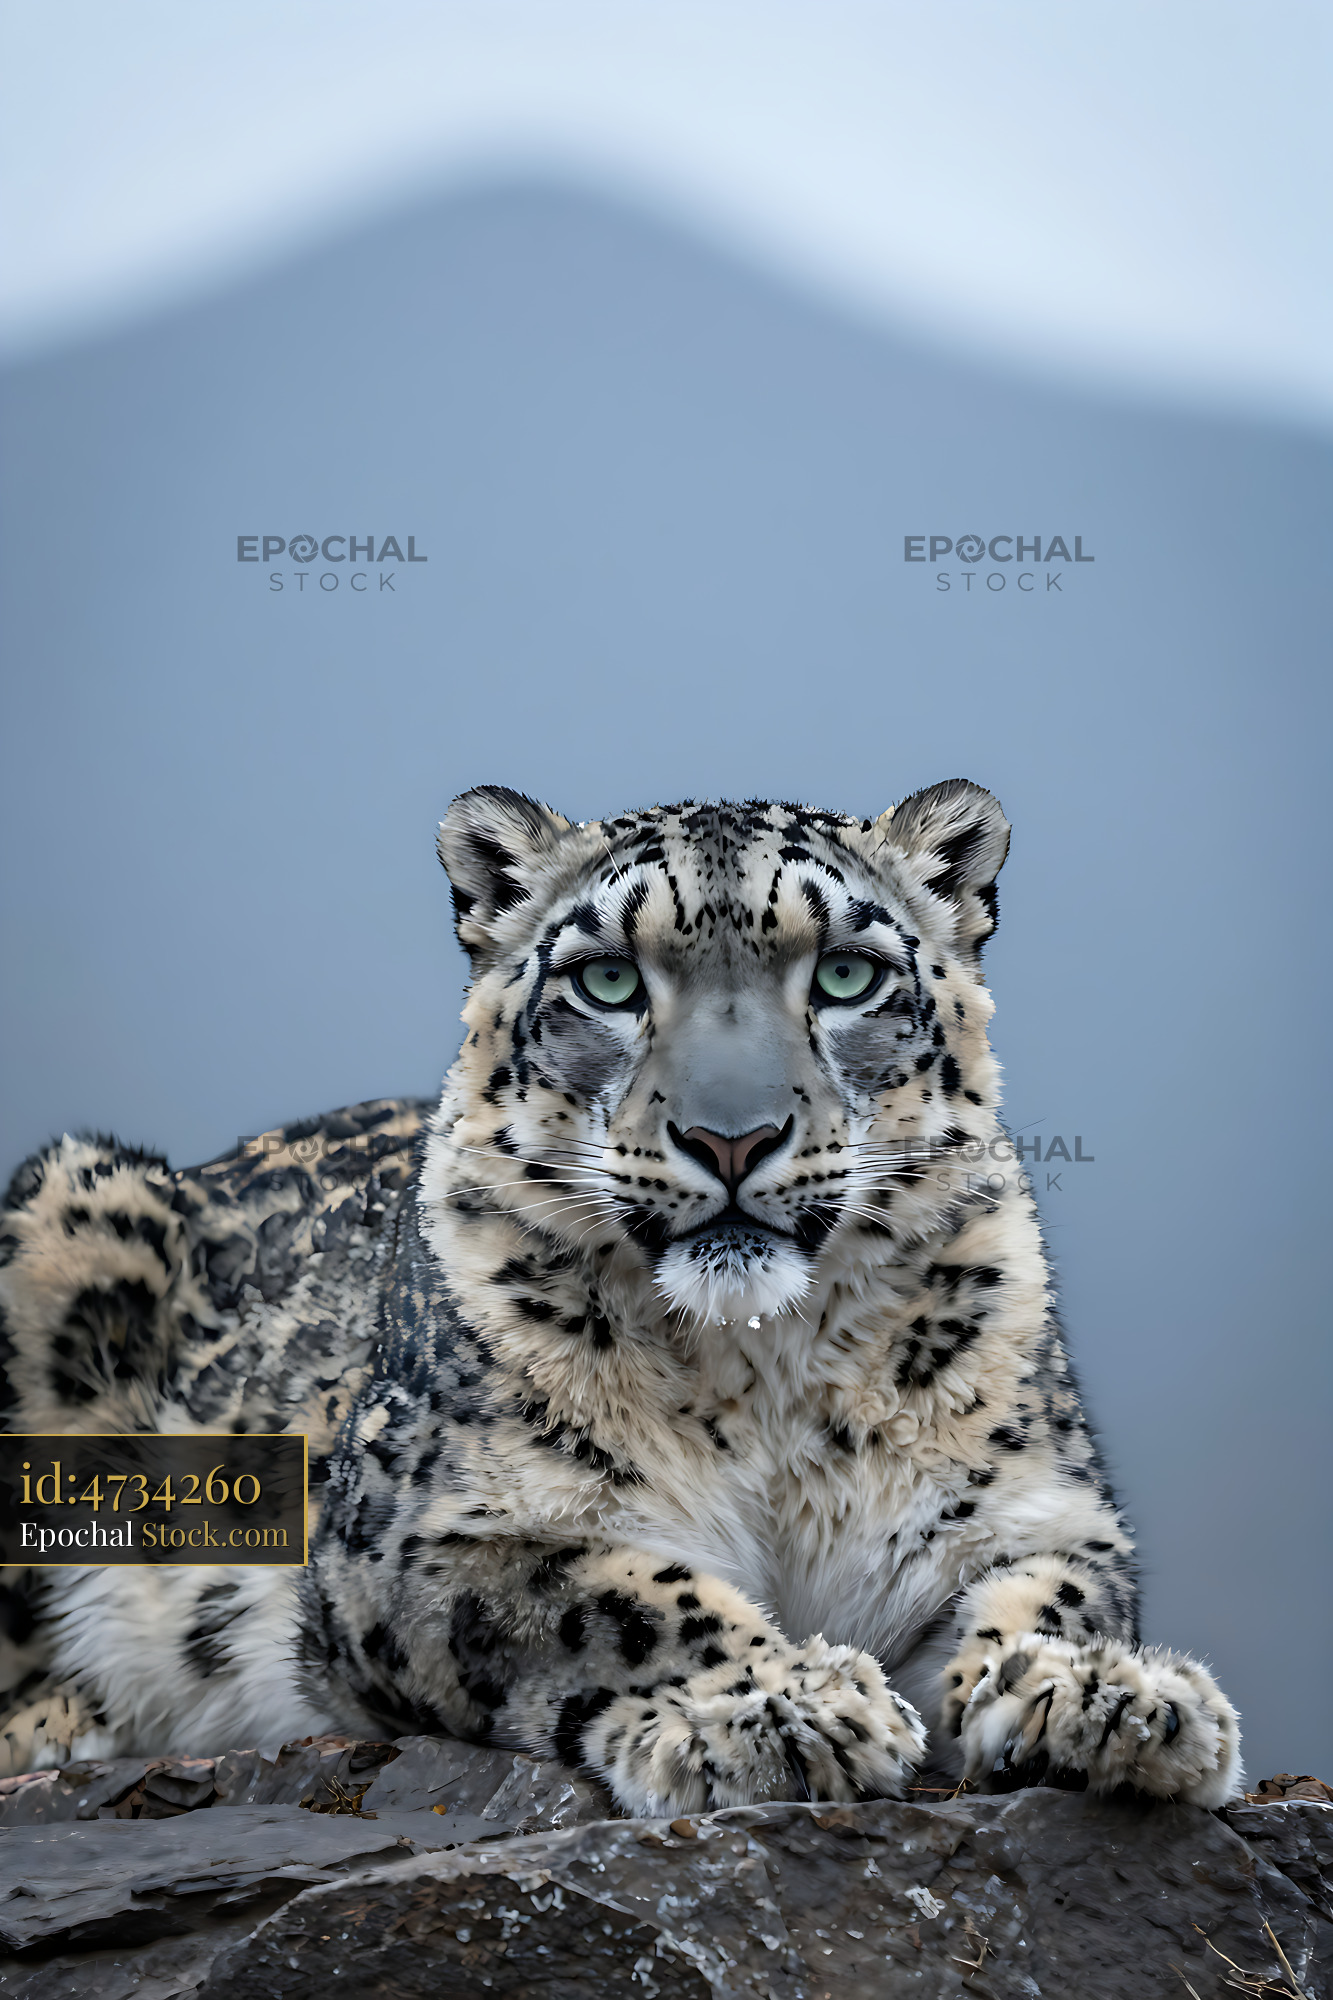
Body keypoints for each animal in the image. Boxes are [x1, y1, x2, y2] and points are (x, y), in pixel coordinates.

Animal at [0, 780, 1242, 1812]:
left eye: (846, 971)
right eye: (607, 978)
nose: (731, 1134)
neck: (766, 1372)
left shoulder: (1029, 1506)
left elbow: (1052, 1587)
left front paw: (1108, 1694)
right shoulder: (417, 1537)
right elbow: (616, 1592)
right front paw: (782, 1706)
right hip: (65, 1211)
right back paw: (61, 1722)